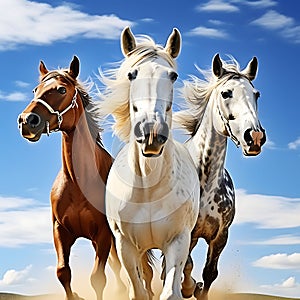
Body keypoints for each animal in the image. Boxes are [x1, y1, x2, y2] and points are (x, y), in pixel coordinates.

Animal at [17, 56, 125, 300]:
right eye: (35, 89)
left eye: (61, 89)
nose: (27, 121)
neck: (78, 182)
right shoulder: (61, 231)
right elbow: (63, 272)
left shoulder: (103, 234)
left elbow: (98, 279)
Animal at [99, 27, 200, 298]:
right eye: (132, 74)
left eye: (173, 76)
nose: (152, 134)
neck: (149, 187)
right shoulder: (126, 245)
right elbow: (139, 291)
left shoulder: (178, 241)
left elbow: (170, 291)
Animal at [175, 54, 266, 300]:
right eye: (226, 93)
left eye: (256, 94)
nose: (254, 137)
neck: (205, 184)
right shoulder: (185, 232)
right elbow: (186, 265)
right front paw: (189, 287)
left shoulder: (220, 236)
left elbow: (209, 273)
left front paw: (198, 290)